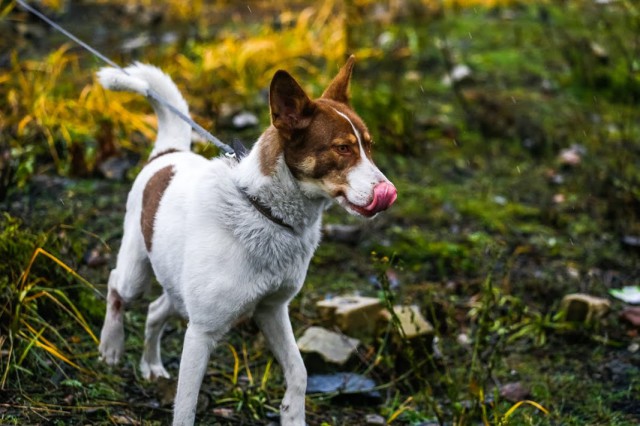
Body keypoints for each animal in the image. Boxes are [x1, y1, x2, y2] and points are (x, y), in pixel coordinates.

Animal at [96, 56, 396, 426]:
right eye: (342, 148)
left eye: (369, 146)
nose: (389, 193)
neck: (265, 211)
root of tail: (167, 154)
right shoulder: (201, 333)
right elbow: (186, 406)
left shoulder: (272, 309)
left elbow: (299, 372)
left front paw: (292, 413)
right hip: (136, 273)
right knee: (116, 286)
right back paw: (111, 346)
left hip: (179, 289)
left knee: (155, 310)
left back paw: (150, 364)